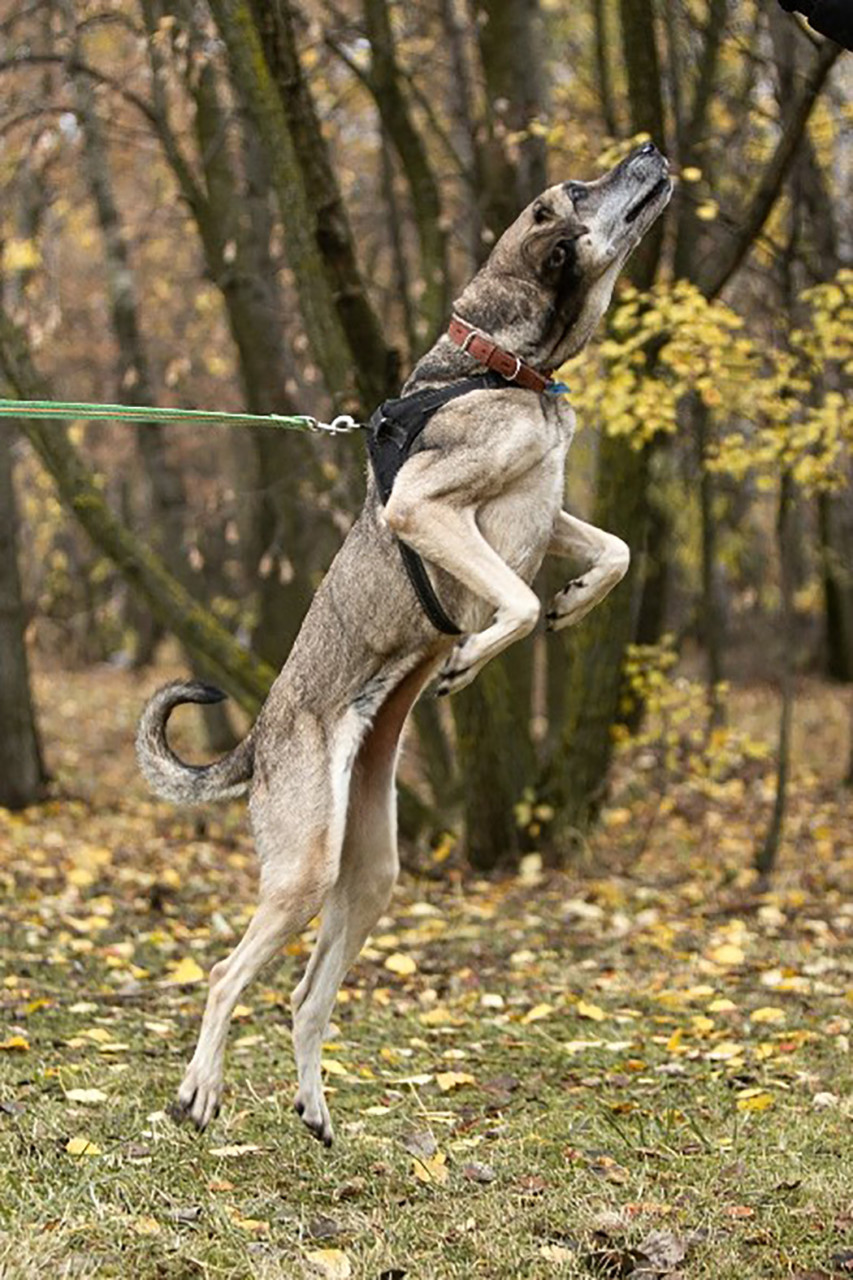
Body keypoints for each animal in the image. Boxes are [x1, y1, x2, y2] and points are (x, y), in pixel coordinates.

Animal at [136, 145, 671, 1146]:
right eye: (580, 190)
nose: (651, 149)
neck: (503, 365)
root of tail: (259, 739)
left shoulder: (544, 512)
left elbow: (615, 551)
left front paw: (575, 602)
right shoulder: (425, 510)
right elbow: (508, 600)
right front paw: (469, 656)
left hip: (371, 871)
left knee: (305, 996)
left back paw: (314, 1110)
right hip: (305, 867)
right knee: (227, 976)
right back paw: (201, 1091)